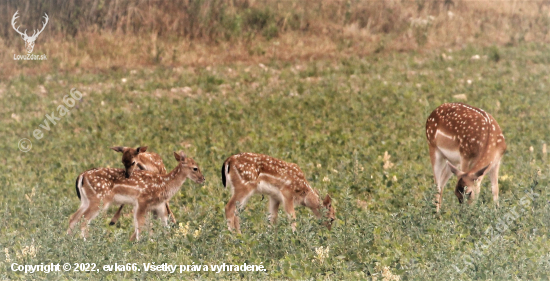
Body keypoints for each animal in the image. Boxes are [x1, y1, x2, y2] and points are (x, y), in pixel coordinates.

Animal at [68, 151, 206, 241]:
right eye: (195, 168)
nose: (203, 179)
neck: (164, 184)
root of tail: (81, 176)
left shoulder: (159, 206)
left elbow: (164, 225)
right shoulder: (142, 201)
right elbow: (140, 226)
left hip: (86, 201)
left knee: (73, 218)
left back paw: (69, 241)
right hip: (99, 199)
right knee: (83, 221)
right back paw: (87, 242)